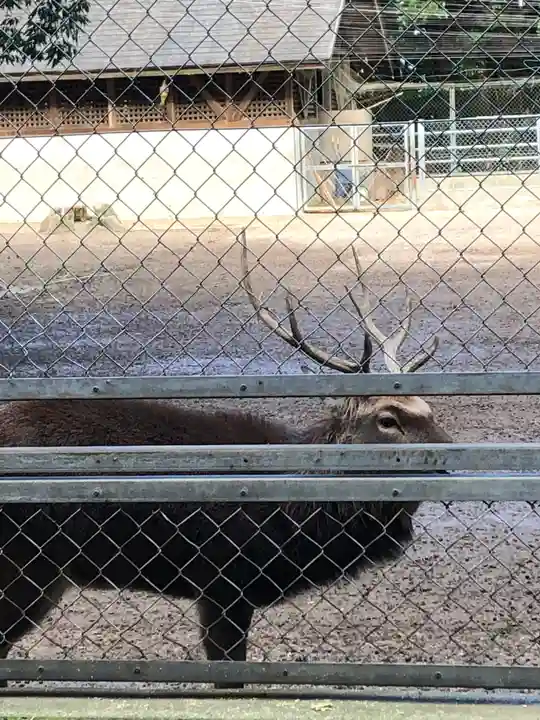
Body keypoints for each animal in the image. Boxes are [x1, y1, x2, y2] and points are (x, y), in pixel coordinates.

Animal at [0, 229, 452, 688]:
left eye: (430, 409)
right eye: (388, 419)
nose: (450, 452)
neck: (294, 518)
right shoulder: (222, 583)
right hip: (24, 565)